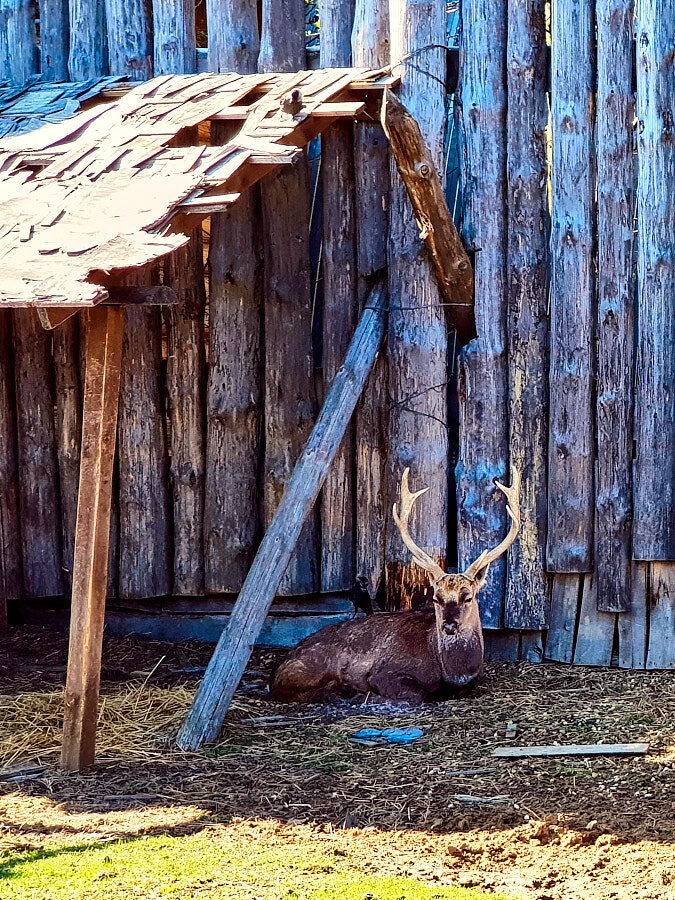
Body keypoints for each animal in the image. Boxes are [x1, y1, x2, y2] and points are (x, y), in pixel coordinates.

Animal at [270, 468, 524, 708]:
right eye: (436, 598)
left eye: (468, 597)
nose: (449, 626)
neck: (452, 672)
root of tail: (278, 668)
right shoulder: (384, 671)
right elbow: (416, 694)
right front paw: (370, 696)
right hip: (310, 666)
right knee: (287, 691)